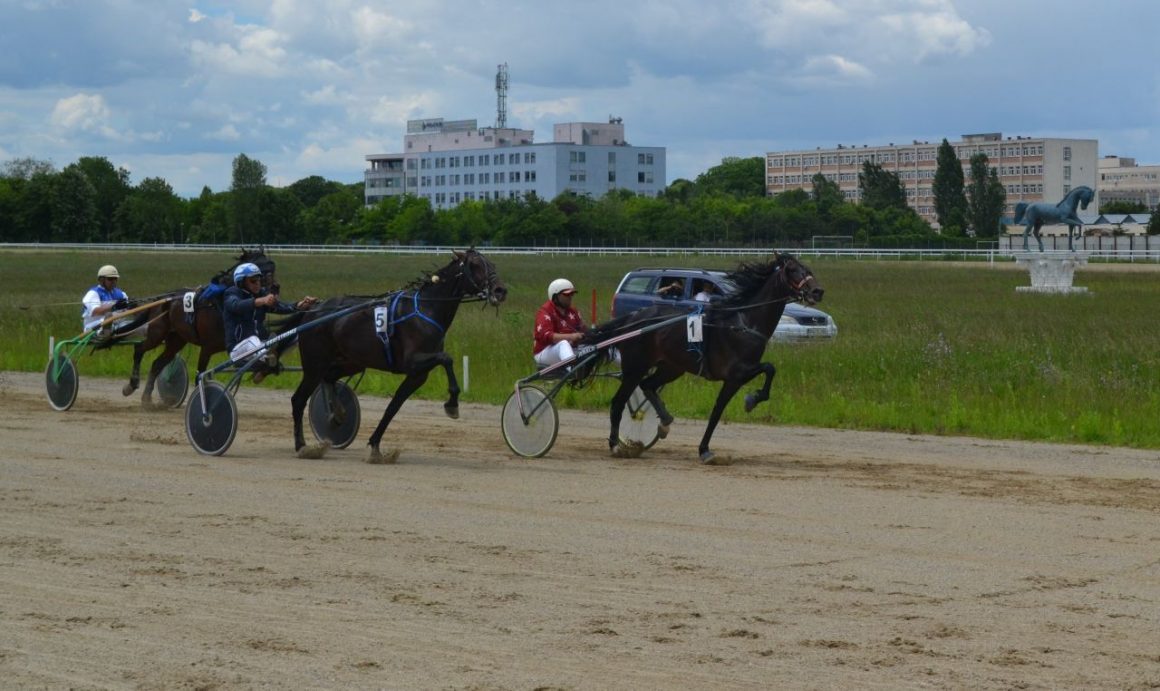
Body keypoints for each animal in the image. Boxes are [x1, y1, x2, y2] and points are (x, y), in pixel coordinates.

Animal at [122, 248, 278, 408]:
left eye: (272, 268)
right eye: (261, 271)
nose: (275, 289)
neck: (219, 303)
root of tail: (162, 299)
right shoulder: (207, 348)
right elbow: (200, 376)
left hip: (176, 340)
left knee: (156, 364)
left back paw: (147, 398)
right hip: (157, 333)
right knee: (139, 350)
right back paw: (131, 385)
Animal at [283, 249, 505, 463]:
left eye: (492, 263)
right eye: (475, 265)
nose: (500, 290)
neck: (427, 308)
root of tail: (313, 309)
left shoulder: (418, 375)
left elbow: (393, 407)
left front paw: (375, 448)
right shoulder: (412, 362)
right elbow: (446, 358)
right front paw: (452, 404)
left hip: (352, 361)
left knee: (328, 378)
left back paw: (337, 414)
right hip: (315, 364)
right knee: (298, 399)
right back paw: (302, 446)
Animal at [584, 251, 821, 466]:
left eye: (808, 269)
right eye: (792, 270)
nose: (817, 291)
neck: (745, 322)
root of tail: (632, 319)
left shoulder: (736, 378)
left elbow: (719, 410)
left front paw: (706, 448)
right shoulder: (736, 373)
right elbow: (766, 370)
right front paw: (751, 400)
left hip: (671, 367)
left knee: (648, 385)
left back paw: (664, 422)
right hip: (635, 367)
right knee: (618, 402)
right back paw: (615, 445)